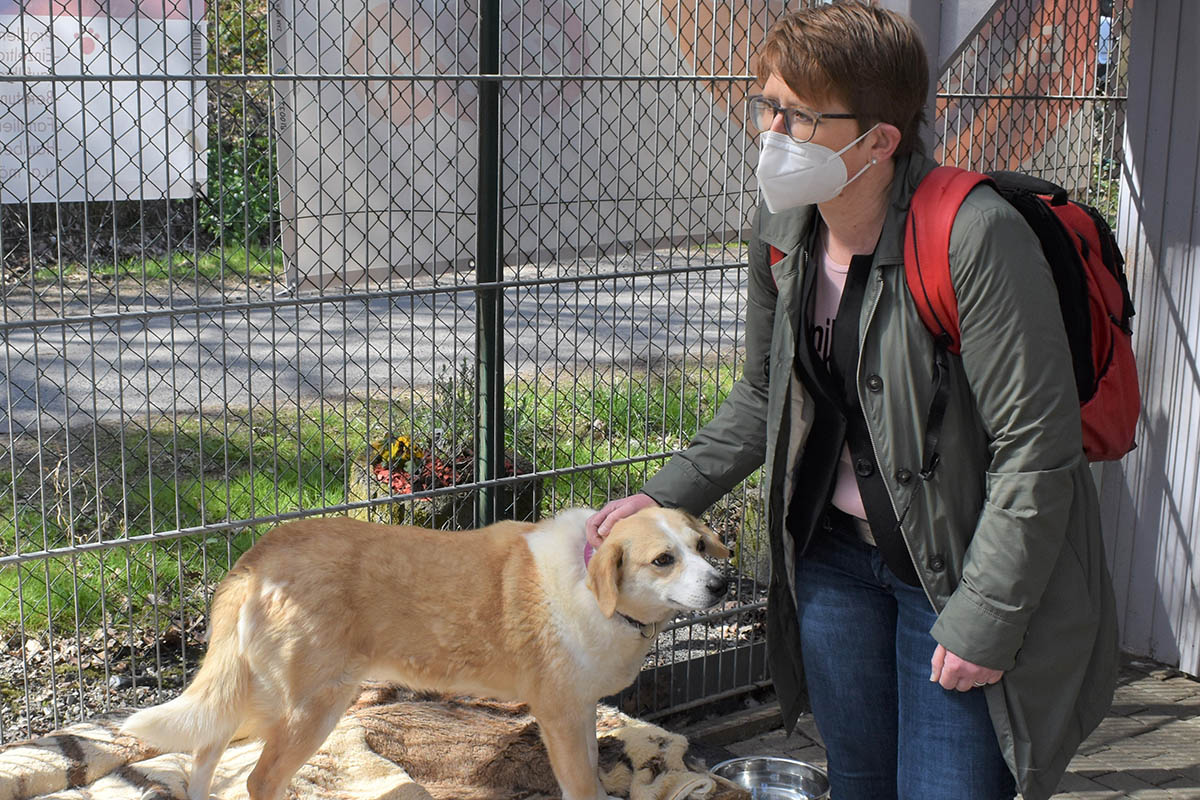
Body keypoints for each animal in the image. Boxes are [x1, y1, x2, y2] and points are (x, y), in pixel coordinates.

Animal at [121, 506, 729, 800]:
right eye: (663, 560)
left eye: (700, 546)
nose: (722, 585)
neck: (590, 582)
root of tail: (259, 554)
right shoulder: (559, 715)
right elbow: (582, 788)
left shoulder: (578, 712)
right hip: (313, 705)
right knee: (258, 780)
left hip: (256, 692)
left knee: (206, 748)